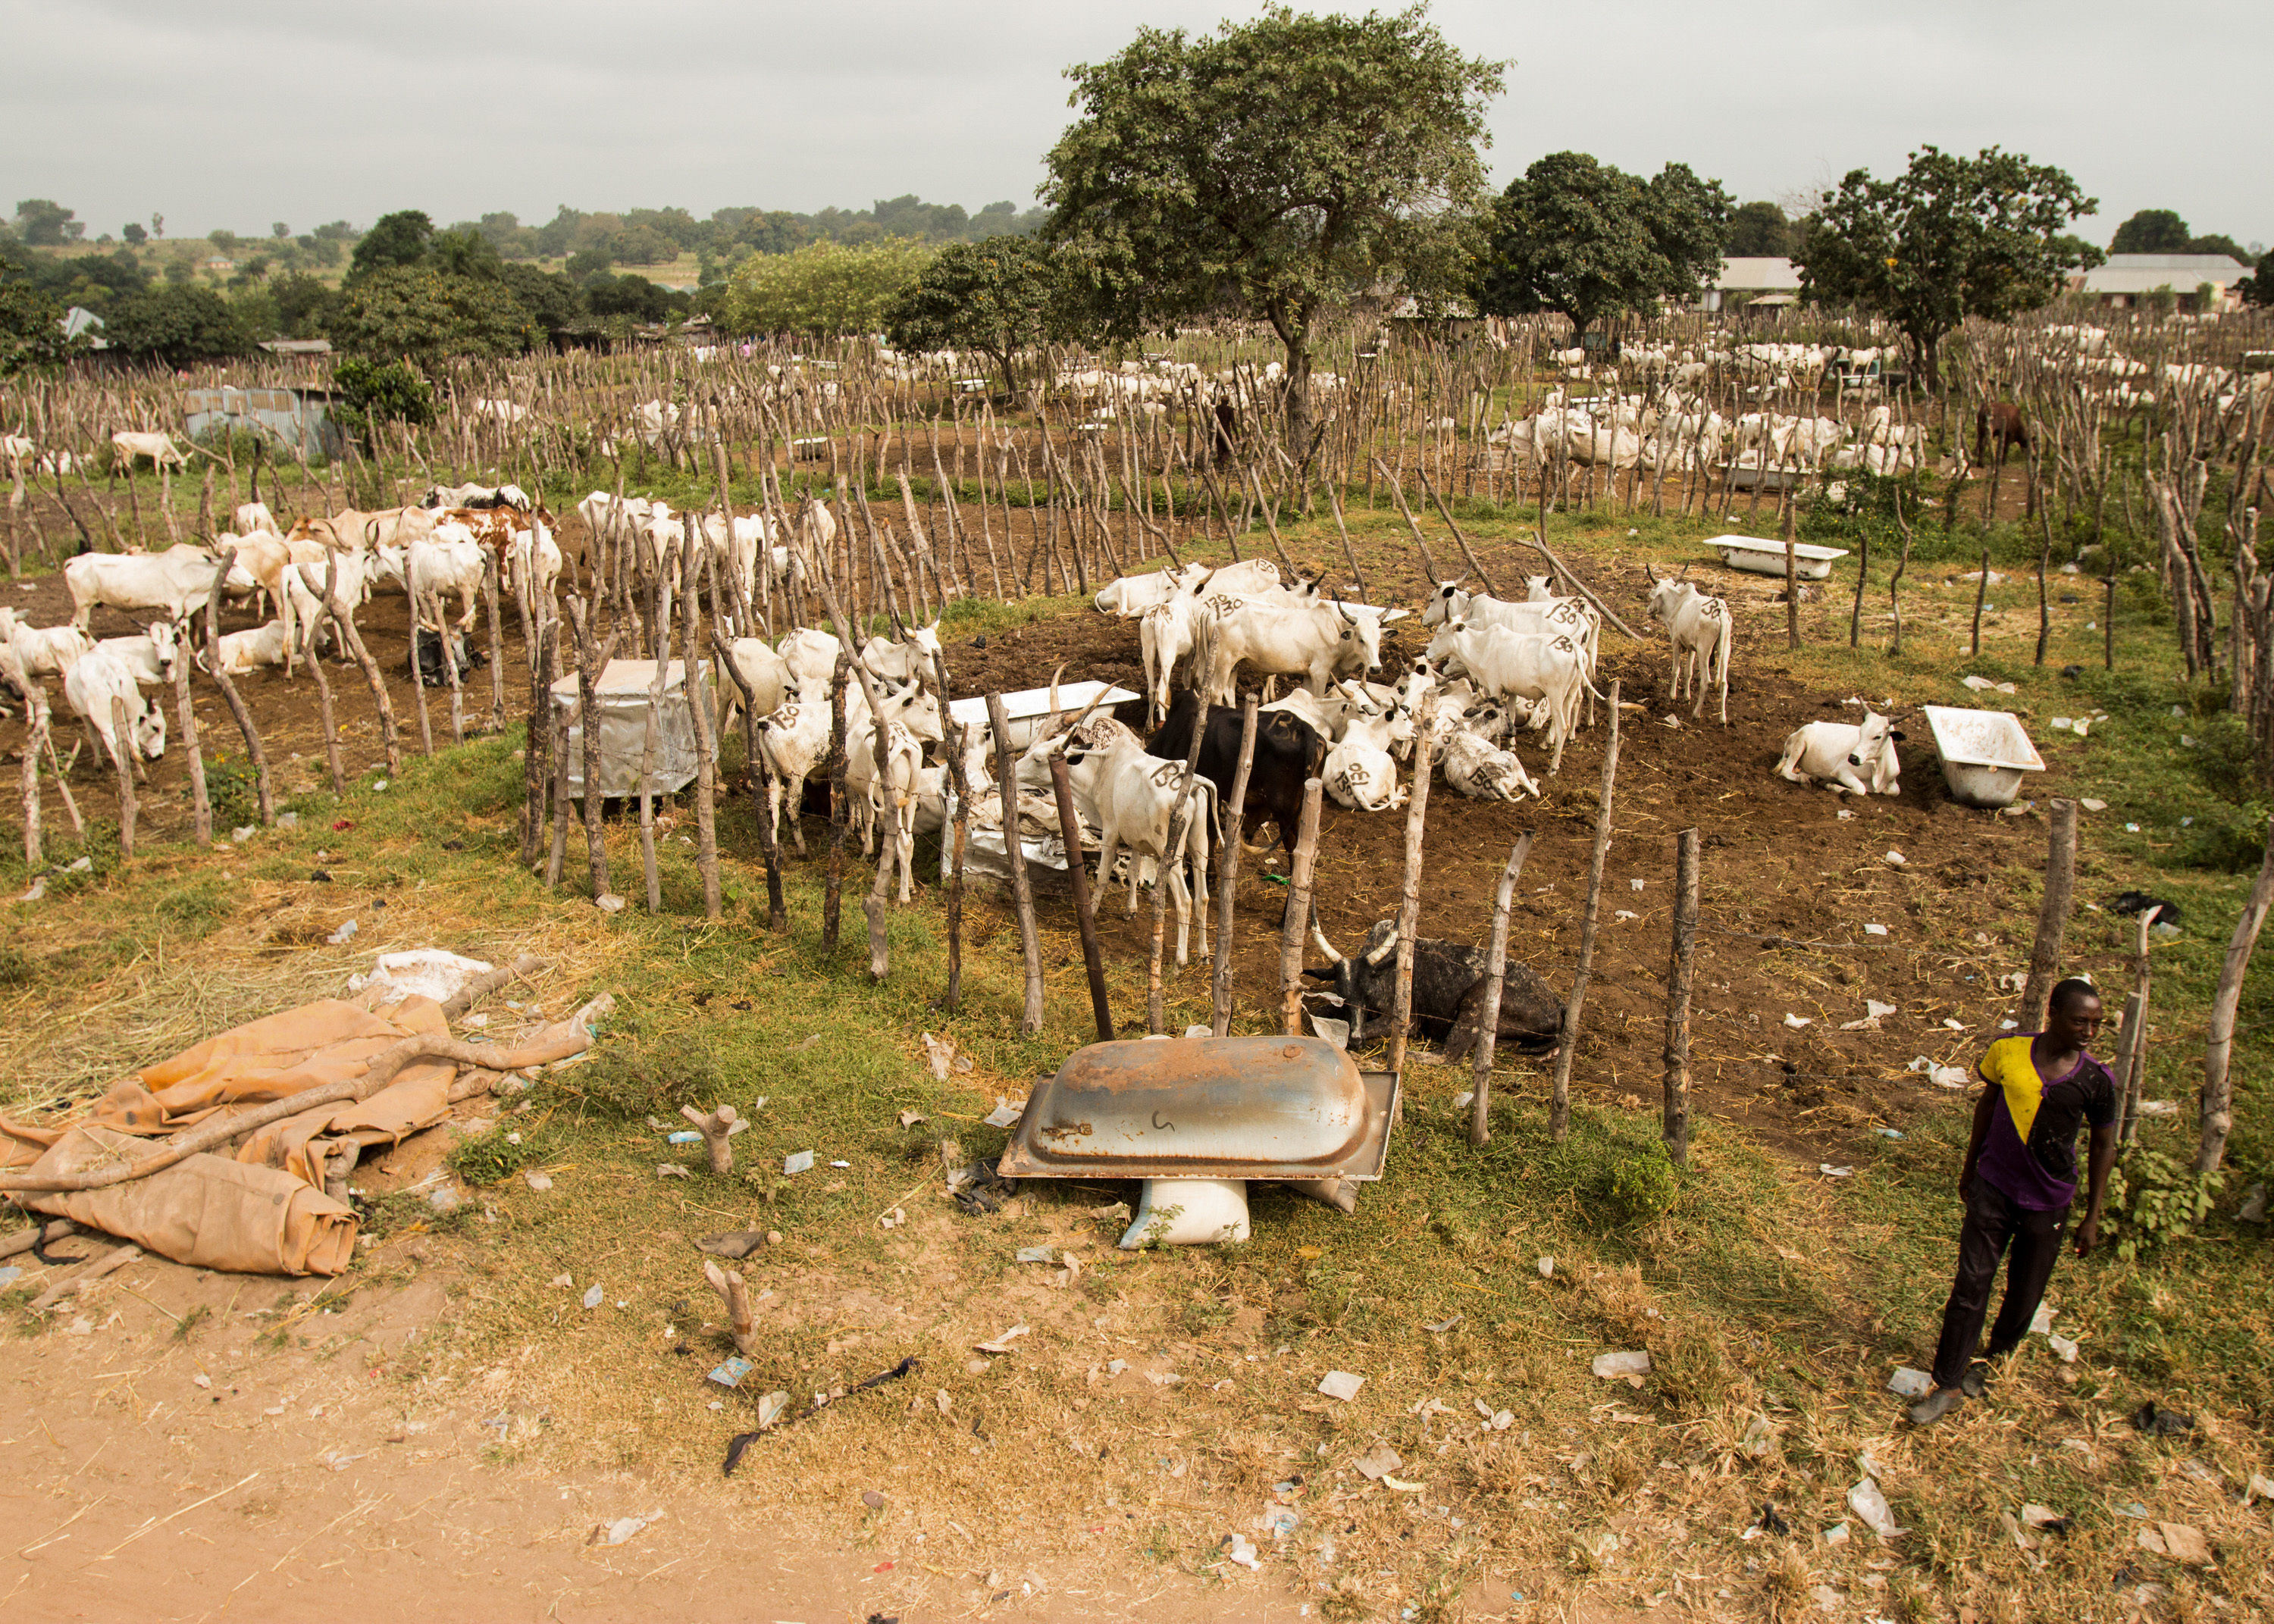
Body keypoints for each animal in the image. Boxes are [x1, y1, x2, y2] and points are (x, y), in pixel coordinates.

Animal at [1304, 915, 1563, 1061]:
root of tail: (1558, 1005)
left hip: (1476, 1003)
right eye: (1341, 996)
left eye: (1367, 992)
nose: (1357, 1040)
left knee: (1448, 1055)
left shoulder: (1406, 1021)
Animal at [1642, 567, 1733, 723]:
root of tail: (1720, 611)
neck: (1677, 603)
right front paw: (1686, 697)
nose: (1649, 610)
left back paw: (1696, 713)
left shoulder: (1676, 642)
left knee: (1706, 682)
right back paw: (1723, 719)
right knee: (1723, 682)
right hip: (1726, 648)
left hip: (1704, 651)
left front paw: (1672, 696)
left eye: (1654, 596)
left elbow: (1676, 670)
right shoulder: (1692, 648)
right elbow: (1688, 672)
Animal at [1774, 709, 1904, 796]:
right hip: (1801, 741)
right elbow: (1861, 789)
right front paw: (1830, 785)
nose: (1853, 758)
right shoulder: (1841, 771)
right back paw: (1805, 779)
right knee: (1786, 770)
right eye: (1860, 732)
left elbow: (1895, 791)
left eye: (1878, 736)